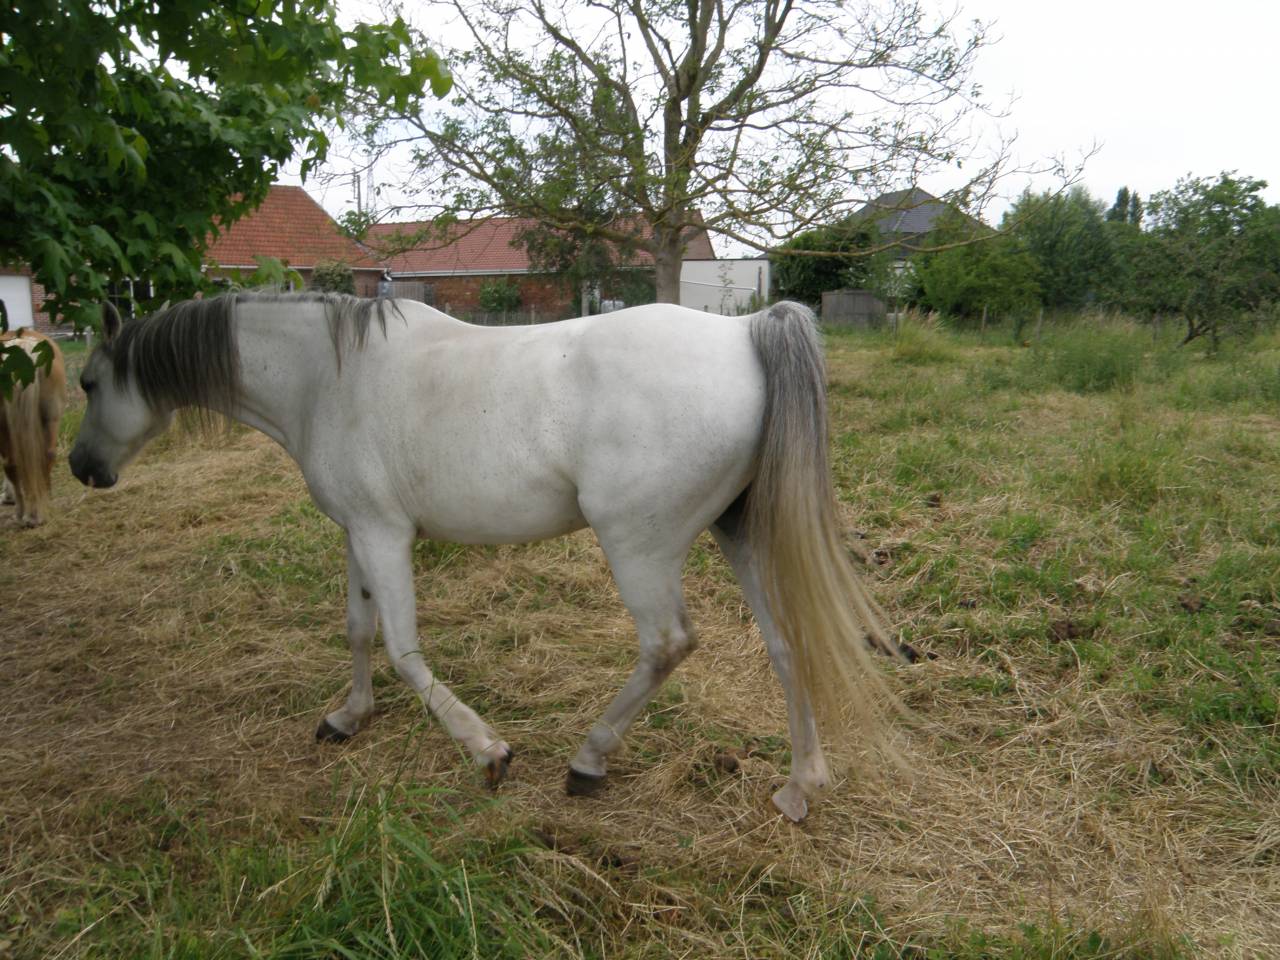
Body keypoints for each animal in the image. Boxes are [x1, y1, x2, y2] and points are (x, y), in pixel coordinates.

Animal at [69, 292, 899, 821]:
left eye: (87, 380)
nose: (81, 467)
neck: (327, 377)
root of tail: (746, 331)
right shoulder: (357, 531)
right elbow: (359, 631)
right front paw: (348, 718)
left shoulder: (383, 534)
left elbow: (404, 650)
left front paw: (487, 752)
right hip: (739, 534)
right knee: (788, 645)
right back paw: (800, 787)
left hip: (640, 545)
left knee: (667, 645)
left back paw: (588, 760)